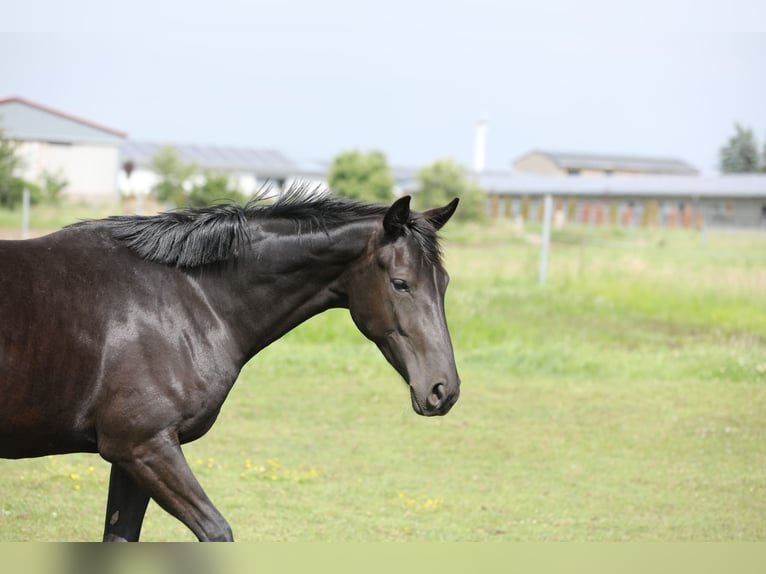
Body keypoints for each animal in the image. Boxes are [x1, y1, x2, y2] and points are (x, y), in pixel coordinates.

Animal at [0, 191, 462, 544]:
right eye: (400, 283)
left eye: (444, 283)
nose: (444, 390)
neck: (185, 300)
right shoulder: (144, 447)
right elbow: (217, 531)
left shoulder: (129, 458)